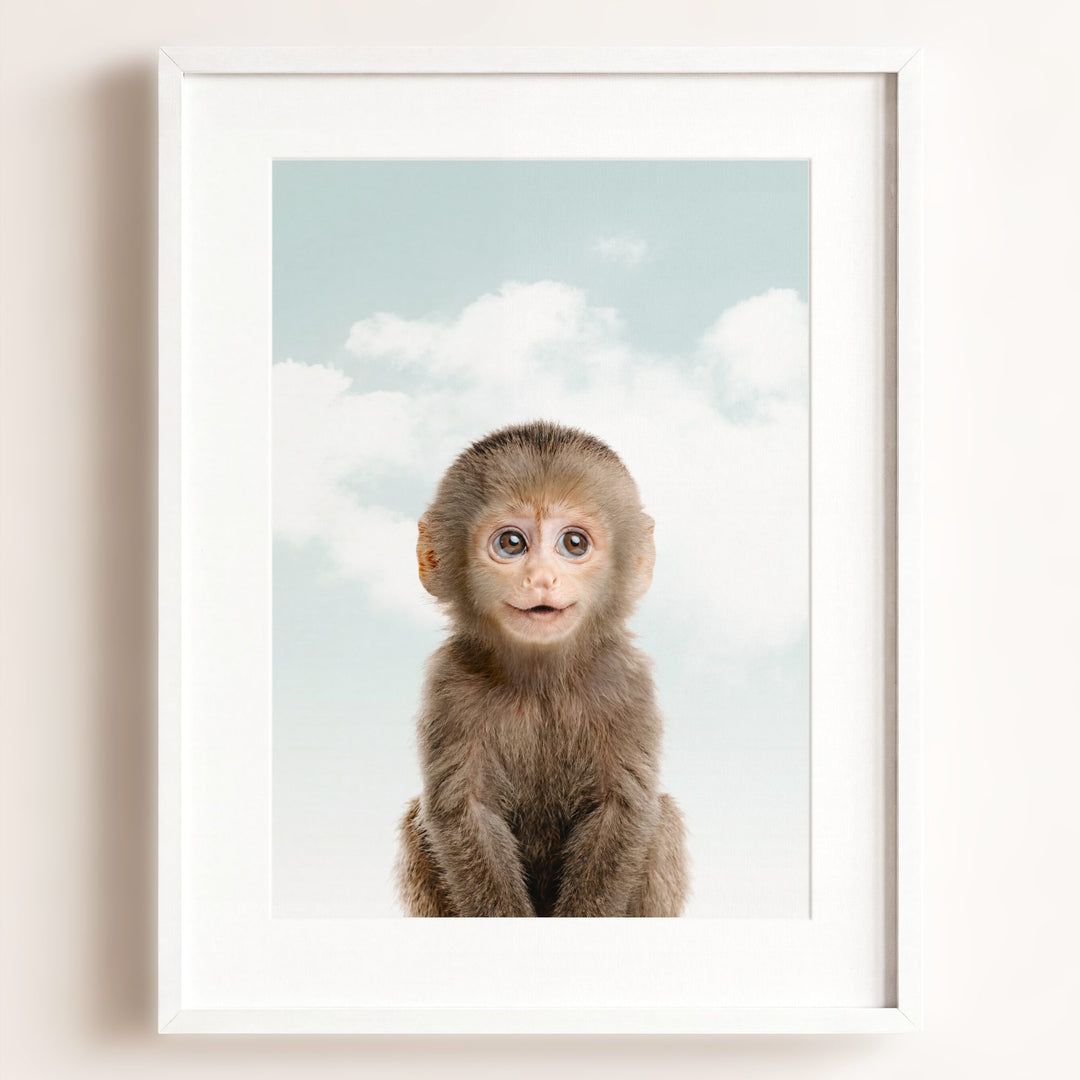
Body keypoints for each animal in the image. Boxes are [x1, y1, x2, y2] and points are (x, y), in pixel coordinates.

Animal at [396, 420, 688, 917]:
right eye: (511, 543)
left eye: (574, 543)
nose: (541, 579)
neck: (541, 681)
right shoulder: (449, 682)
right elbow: (463, 811)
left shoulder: (626, 681)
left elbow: (623, 809)